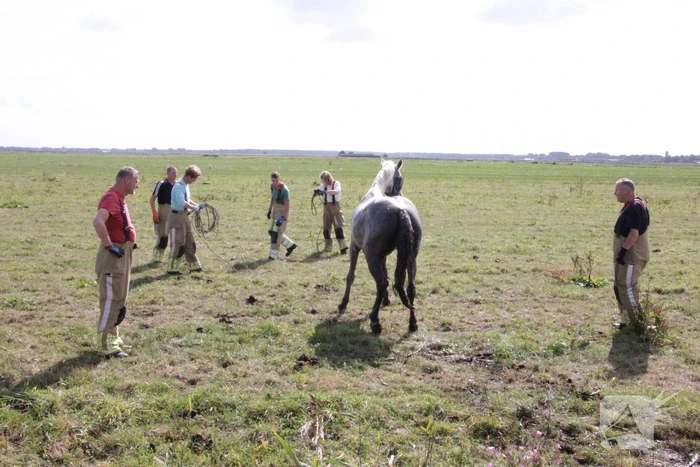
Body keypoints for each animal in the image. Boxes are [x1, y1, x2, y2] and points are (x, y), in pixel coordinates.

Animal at [338, 158, 422, 335]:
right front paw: (387, 300)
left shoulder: (354, 247)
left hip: (371, 257)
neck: (373, 192)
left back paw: (375, 320)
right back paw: (412, 323)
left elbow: (351, 276)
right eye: (400, 178)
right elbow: (388, 274)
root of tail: (401, 210)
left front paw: (343, 303)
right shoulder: (383, 256)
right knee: (410, 287)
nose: (399, 194)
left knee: (381, 283)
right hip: (411, 258)